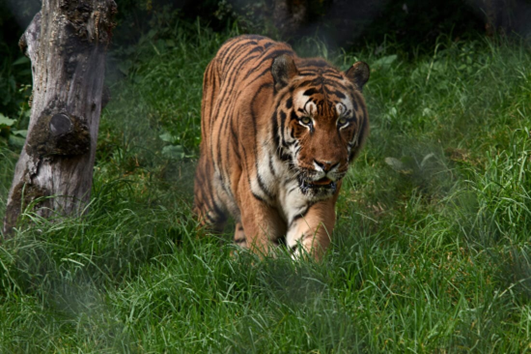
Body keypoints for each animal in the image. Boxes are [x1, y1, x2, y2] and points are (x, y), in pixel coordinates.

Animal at [193, 34, 372, 260]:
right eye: (306, 120)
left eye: (342, 121)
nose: (327, 165)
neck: (286, 169)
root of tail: (238, 37)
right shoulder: (253, 195)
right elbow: (263, 243)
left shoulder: (316, 199)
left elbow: (311, 241)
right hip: (209, 194)